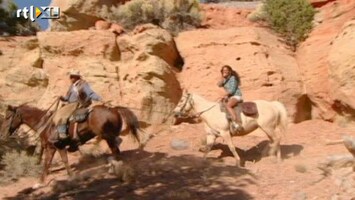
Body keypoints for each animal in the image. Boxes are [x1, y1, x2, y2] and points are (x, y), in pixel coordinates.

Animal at [0, 103, 145, 186]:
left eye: (7, 117)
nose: (2, 134)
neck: (46, 123)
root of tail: (114, 109)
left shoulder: (55, 146)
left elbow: (56, 162)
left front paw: (69, 178)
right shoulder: (55, 147)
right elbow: (55, 162)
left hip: (107, 136)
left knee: (116, 151)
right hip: (109, 136)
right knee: (117, 149)